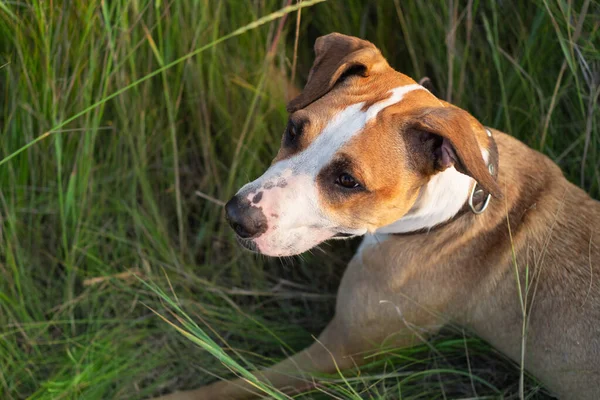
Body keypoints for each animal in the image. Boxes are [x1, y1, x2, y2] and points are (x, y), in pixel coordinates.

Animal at [161, 34, 600, 400]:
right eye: (293, 130)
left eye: (347, 181)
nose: (237, 216)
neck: (455, 206)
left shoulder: (337, 352)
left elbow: (228, 387)